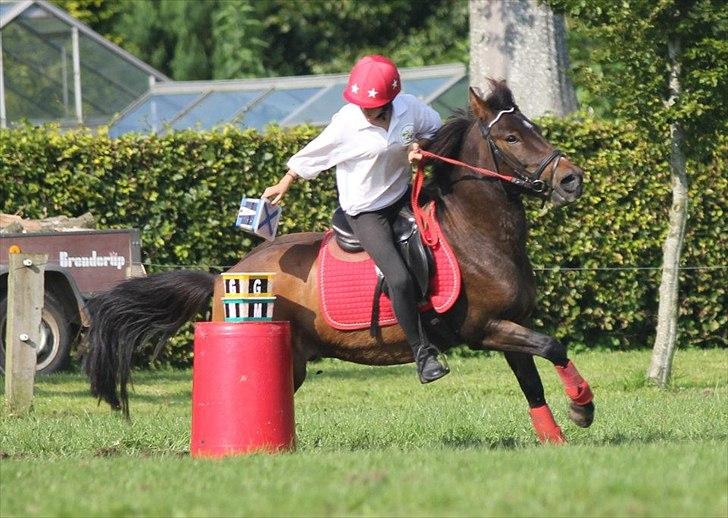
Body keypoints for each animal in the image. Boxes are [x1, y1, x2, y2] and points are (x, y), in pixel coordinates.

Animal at [88, 79, 596, 444]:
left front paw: (558, 434)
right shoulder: (484, 328)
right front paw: (583, 405)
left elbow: (533, 380)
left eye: (534, 128)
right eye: (511, 137)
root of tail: (227, 274)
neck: (475, 234)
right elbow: (554, 345)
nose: (572, 179)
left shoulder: (510, 325)